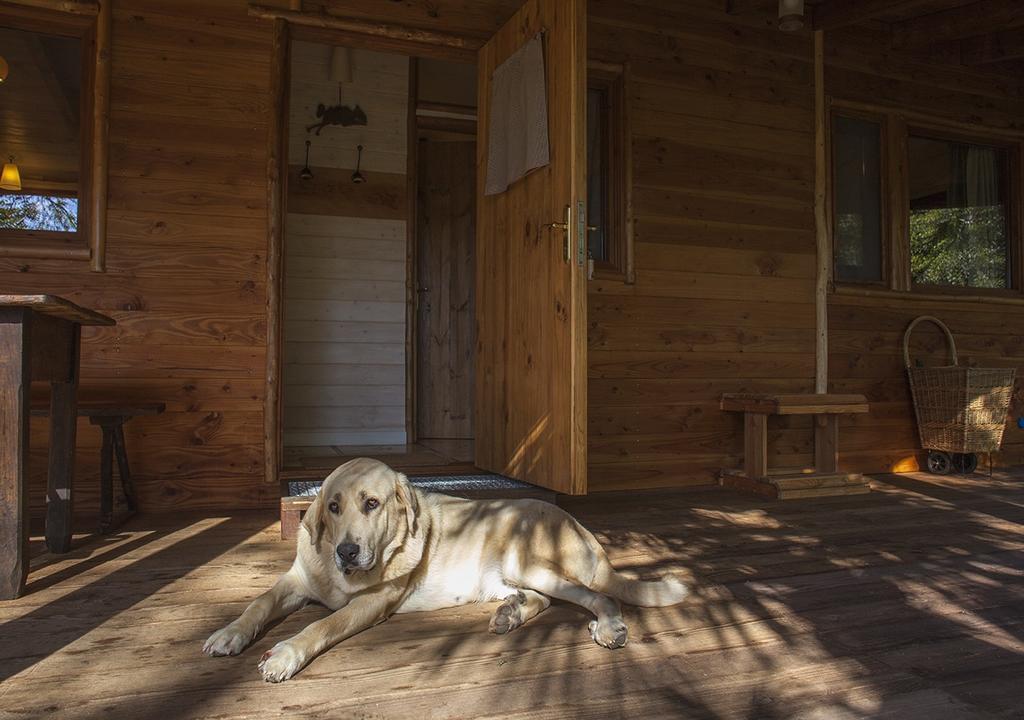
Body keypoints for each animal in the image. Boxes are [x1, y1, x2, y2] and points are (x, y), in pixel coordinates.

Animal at [203, 458, 688, 684]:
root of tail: (579, 525)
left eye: (372, 504)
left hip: (529, 560)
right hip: (512, 576)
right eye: (333, 507)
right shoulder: (295, 580)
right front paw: (230, 633)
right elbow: (258, 603)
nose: (346, 552)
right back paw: (509, 614)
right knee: (543, 599)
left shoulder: (371, 603)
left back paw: (608, 627)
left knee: (599, 596)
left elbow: (322, 625)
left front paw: (285, 653)